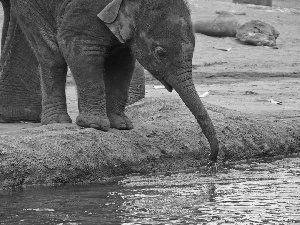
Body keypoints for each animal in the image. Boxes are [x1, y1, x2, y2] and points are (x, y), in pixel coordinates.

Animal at [1, 0, 219, 163]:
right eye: (160, 52)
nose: (211, 159)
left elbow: (122, 63)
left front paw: (121, 126)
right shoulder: (84, 12)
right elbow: (78, 48)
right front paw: (95, 126)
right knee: (52, 55)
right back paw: (56, 122)